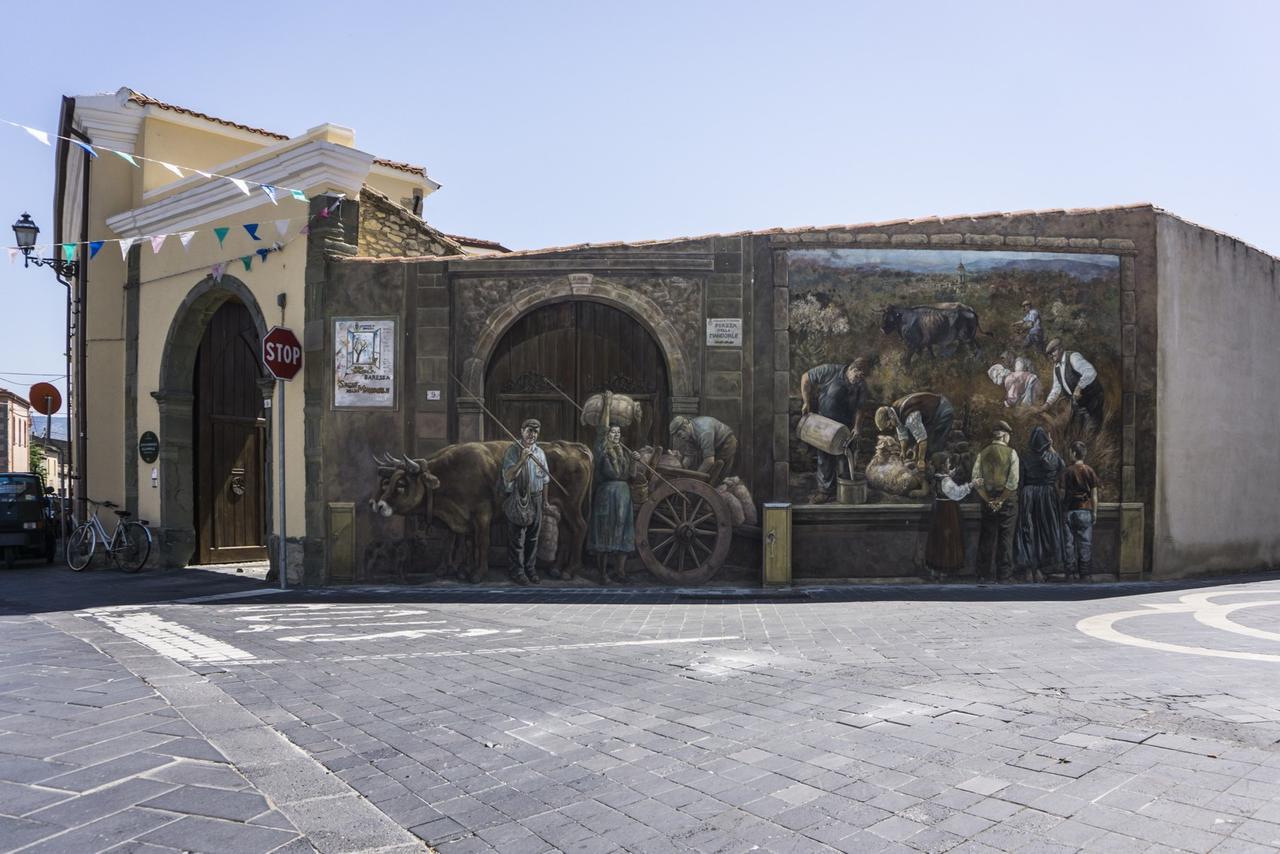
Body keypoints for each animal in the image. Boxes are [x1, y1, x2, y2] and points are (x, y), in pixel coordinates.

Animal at [368, 440, 591, 581]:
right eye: (385, 482)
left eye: (401, 484)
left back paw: (569, 570)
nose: (377, 505)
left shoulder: (482, 515)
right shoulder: (463, 519)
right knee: (566, 533)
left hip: (572, 506)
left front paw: (477, 573)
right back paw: (556, 569)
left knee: (580, 528)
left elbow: (481, 542)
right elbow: (464, 543)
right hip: (560, 508)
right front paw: (460, 570)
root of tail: (574, 446)